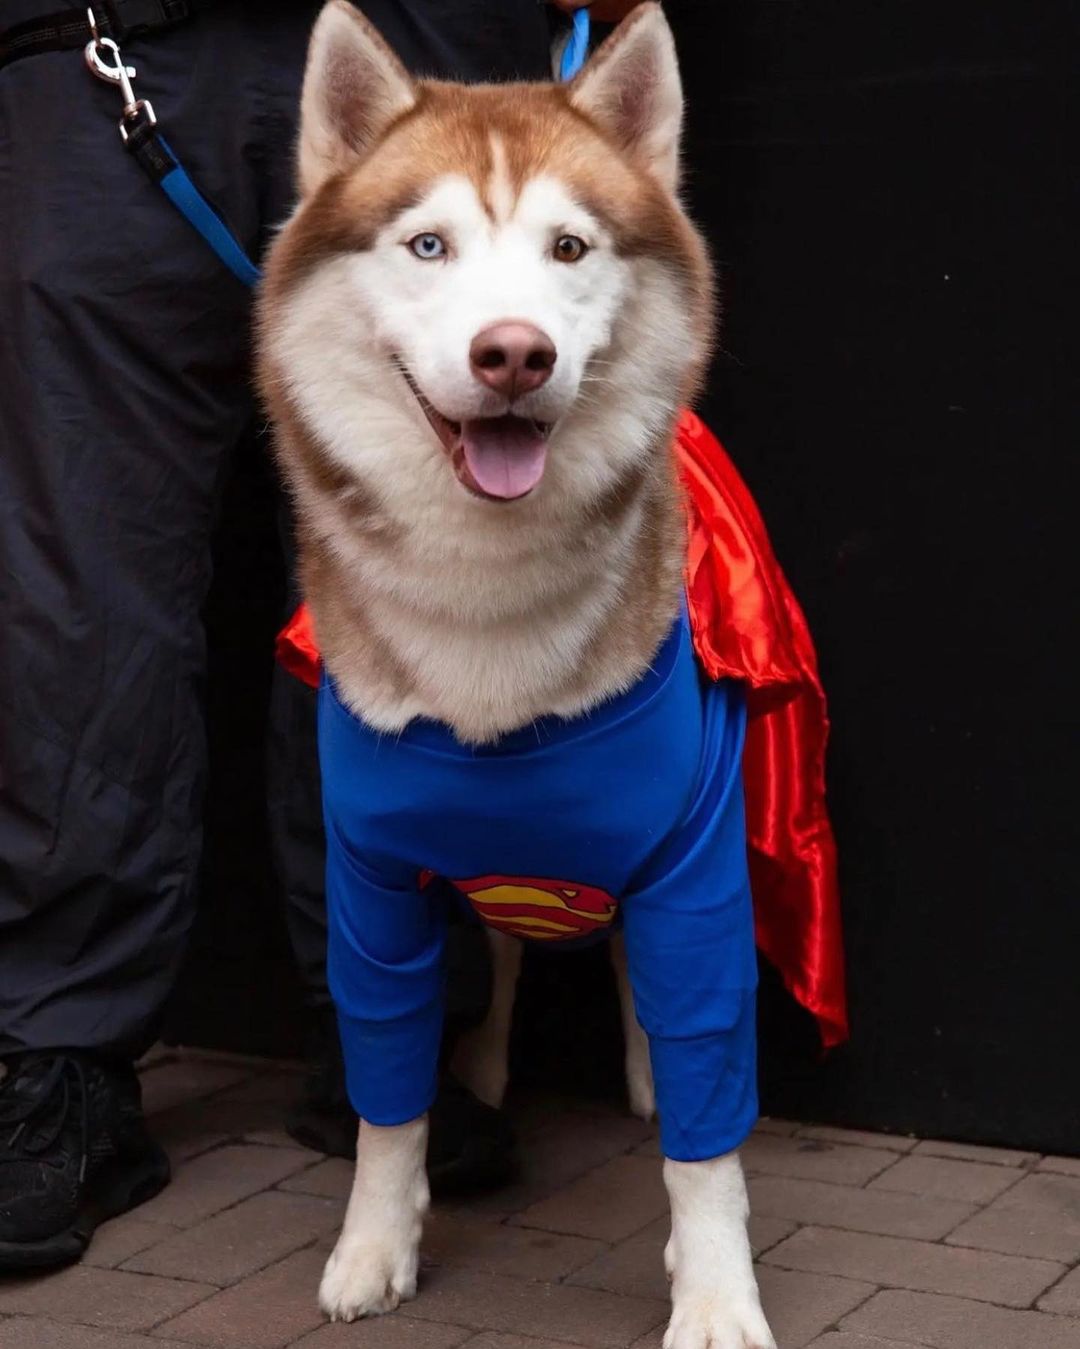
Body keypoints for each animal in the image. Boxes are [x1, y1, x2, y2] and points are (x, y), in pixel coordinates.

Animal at [257, 2, 771, 1349]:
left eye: (569, 246)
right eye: (428, 243)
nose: (513, 355)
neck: (486, 617)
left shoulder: (695, 866)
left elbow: (708, 1102)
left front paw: (716, 1289)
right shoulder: (371, 883)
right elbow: (388, 1084)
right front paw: (375, 1243)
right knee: (499, 959)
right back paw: (487, 1068)